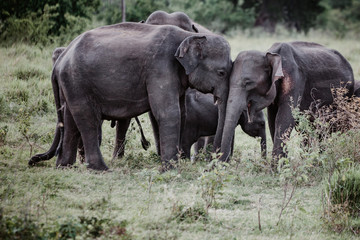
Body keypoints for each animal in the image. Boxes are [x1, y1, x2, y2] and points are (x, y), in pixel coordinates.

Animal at [28, 21, 231, 171]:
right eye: (221, 73)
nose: (213, 163)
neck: (186, 36)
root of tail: (62, 58)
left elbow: (183, 112)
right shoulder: (160, 67)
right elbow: (168, 112)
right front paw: (171, 169)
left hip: (70, 83)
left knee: (70, 120)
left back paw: (65, 167)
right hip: (76, 80)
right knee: (87, 119)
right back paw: (101, 169)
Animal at [219, 41, 354, 168]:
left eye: (248, 83)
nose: (224, 165)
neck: (270, 54)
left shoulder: (295, 78)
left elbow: (284, 118)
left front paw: (275, 170)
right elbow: (273, 120)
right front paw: (283, 165)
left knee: (325, 128)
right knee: (306, 129)